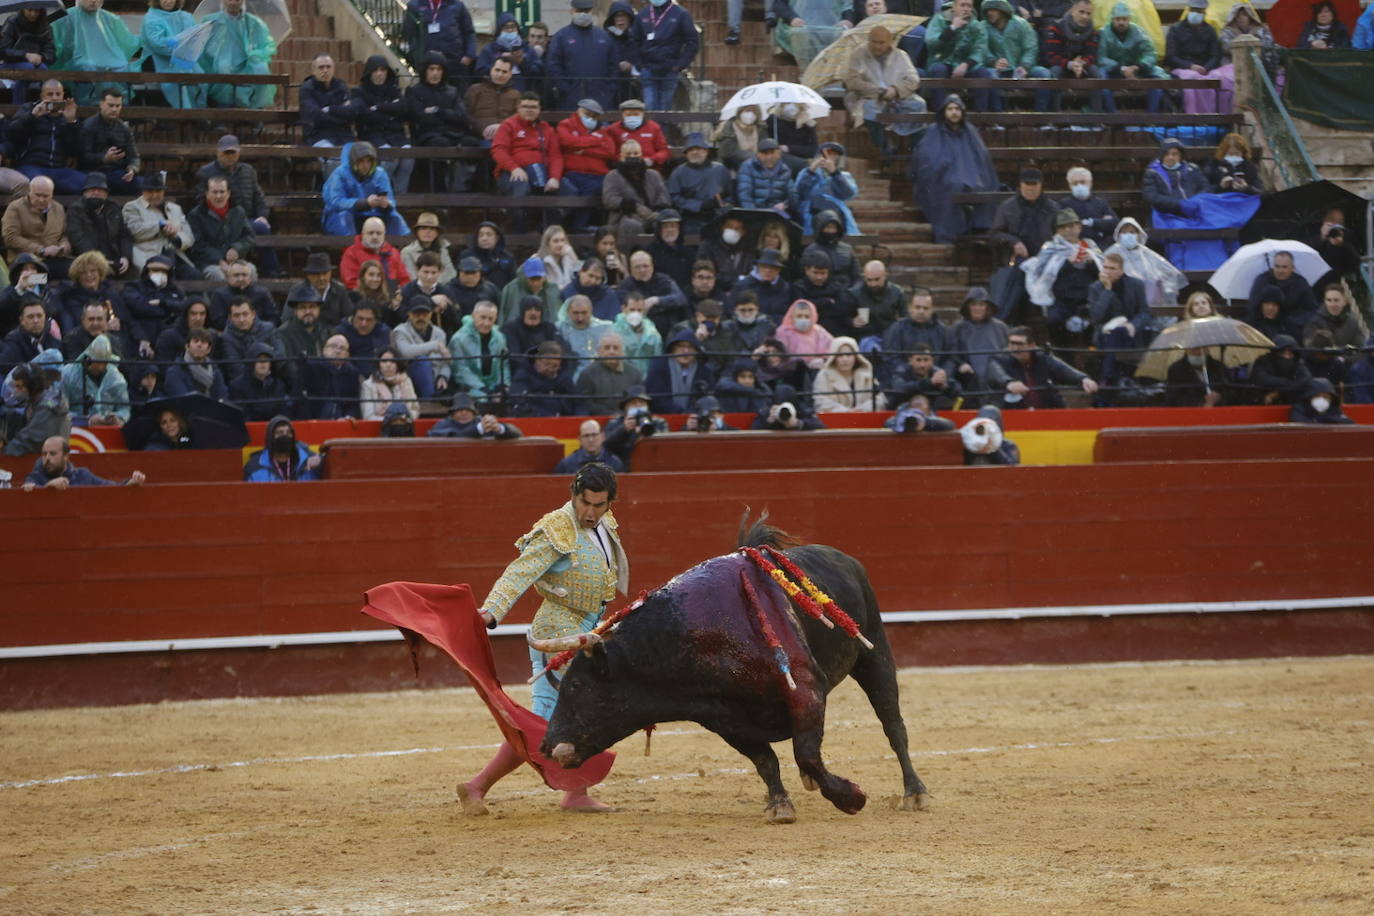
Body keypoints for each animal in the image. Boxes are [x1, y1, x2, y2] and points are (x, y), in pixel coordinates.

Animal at [535, 516, 934, 823]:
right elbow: (766, 760)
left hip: (874, 653)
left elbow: (804, 752)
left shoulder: (806, 689)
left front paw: (851, 797)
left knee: (893, 725)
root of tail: (844, 558)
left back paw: (915, 793)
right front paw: (780, 805)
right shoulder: (724, 717)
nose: (547, 745)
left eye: (575, 687)